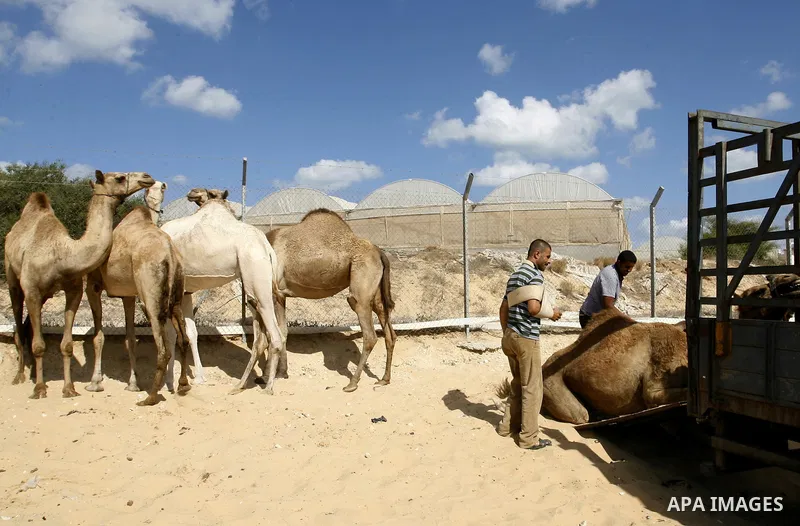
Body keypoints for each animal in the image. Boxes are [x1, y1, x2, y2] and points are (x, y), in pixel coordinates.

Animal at [4, 170, 155, 399]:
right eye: (119, 177)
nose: (147, 176)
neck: (61, 254)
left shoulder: (73, 290)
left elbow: (67, 344)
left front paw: (69, 388)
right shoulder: (32, 290)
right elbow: (39, 345)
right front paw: (39, 389)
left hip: (45, 295)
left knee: (28, 325)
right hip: (13, 280)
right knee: (19, 328)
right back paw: (20, 376)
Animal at [83, 181, 192, 406]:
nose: (160, 185)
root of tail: (170, 252)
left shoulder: (93, 286)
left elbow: (98, 337)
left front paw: (95, 383)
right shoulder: (128, 294)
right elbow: (130, 339)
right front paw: (133, 384)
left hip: (150, 295)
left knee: (163, 349)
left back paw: (150, 397)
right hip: (176, 293)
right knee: (183, 339)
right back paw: (183, 385)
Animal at [160, 188, 285, 394]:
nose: (191, 193)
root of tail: (268, 249)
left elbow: (172, 335)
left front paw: (169, 382)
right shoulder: (186, 291)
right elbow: (191, 333)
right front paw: (198, 378)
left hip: (256, 279)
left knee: (275, 336)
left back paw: (268, 388)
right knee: (263, 338)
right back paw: (240, 385)